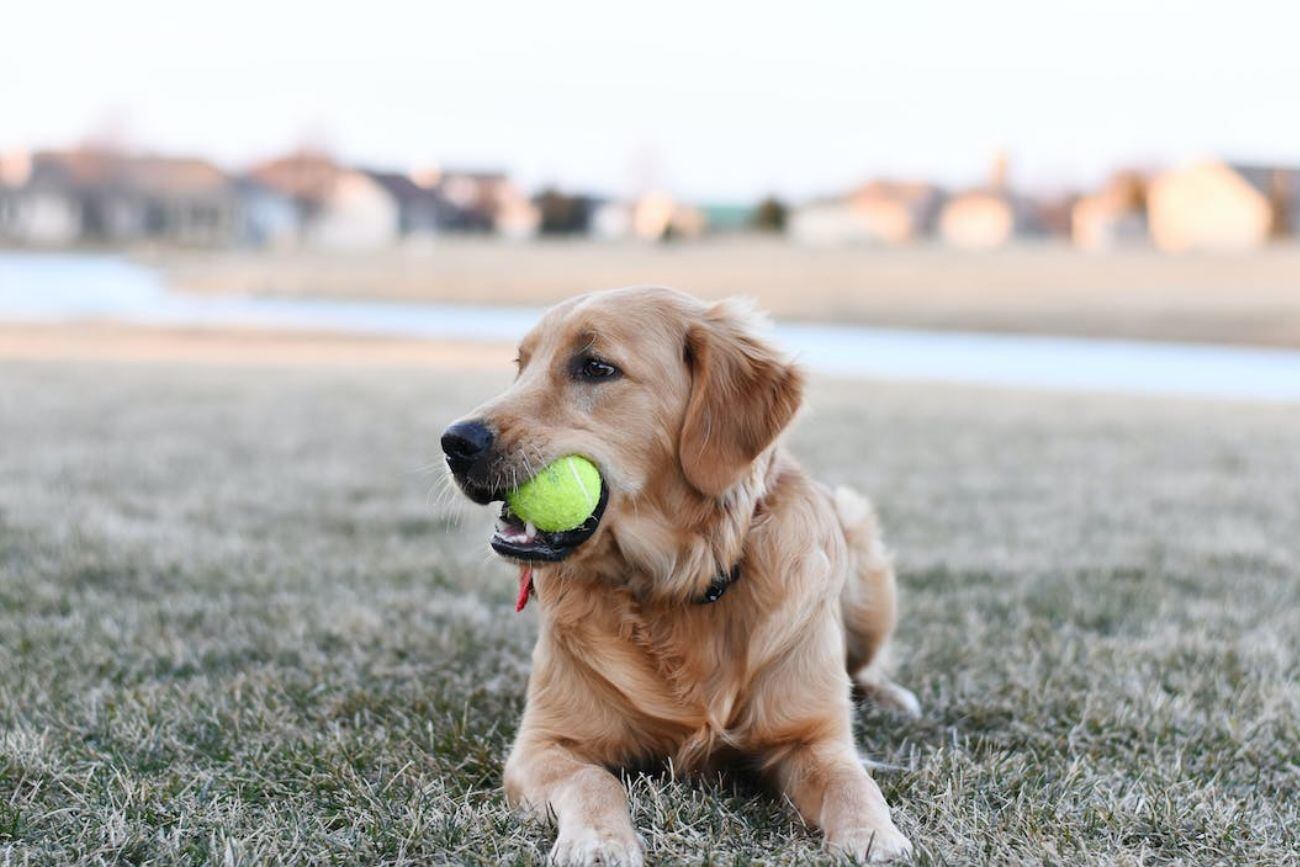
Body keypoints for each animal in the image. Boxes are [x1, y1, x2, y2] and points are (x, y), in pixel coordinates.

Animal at [441, 288, 920, 863]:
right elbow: (593, 781)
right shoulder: (544, 743)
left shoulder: (814, 737)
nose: (454, 442)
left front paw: (875, 836)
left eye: (595, 367)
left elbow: (851, 782)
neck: (677, 585)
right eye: (521, 365)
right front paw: (600, 841)